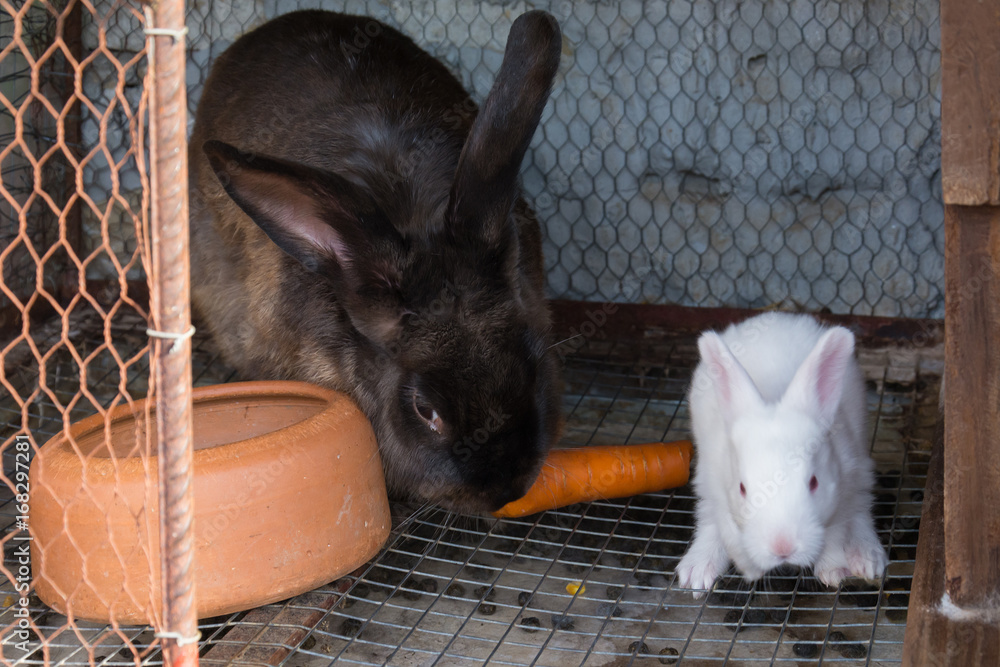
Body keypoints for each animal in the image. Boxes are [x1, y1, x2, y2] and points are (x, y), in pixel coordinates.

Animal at [675, 312, 888, 592]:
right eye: (742, 489)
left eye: (814, 482)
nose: (783, 547)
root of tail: (778, 316)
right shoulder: (715, 486)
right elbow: (721, 527)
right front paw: (742, 568)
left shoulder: (842, 480)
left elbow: (836, 532)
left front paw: (834, 570)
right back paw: (698, 569)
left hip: (860, 464)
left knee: (861, 506)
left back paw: (867, 557)